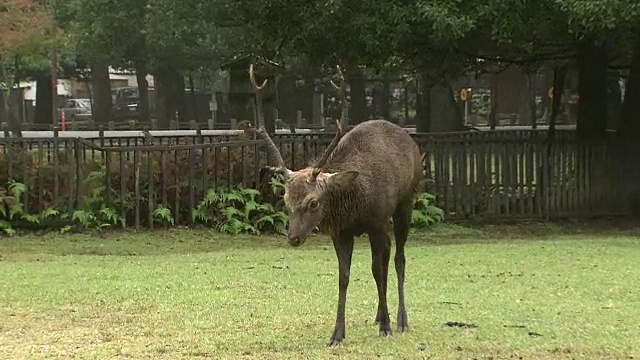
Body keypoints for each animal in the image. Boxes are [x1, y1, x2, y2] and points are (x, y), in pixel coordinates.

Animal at [246, 64, 424, 346]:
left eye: (313, 202)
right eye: (285, 200)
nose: (293, 238)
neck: (354, 205)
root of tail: (410, 139)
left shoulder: (377, 221)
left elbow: (376, 269)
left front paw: (387, 327)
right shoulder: (340, 232)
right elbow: (344, 277)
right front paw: (337, 334)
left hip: (406, 201)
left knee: (398, 258)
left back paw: (400, 320)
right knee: (386, 260)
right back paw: (378, 315)